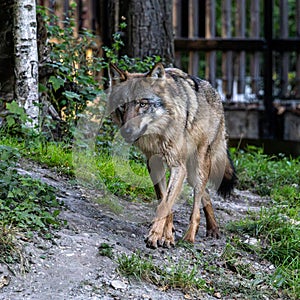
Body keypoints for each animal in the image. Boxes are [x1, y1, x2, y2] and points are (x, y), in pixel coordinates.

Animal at [108, 63, 237, 248]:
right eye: (122, 106)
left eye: (143, 103)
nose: (127, 131)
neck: (158, 134)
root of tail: (215, 92)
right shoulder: (154, 165)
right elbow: (164, 201)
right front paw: (167, 236)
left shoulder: (177, 166)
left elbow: (165, 204)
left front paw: (155, 236)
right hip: (190, 173)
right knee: (206, 195)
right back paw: (213, 229)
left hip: (197, 167)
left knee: (197, 204)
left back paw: (190, 237)